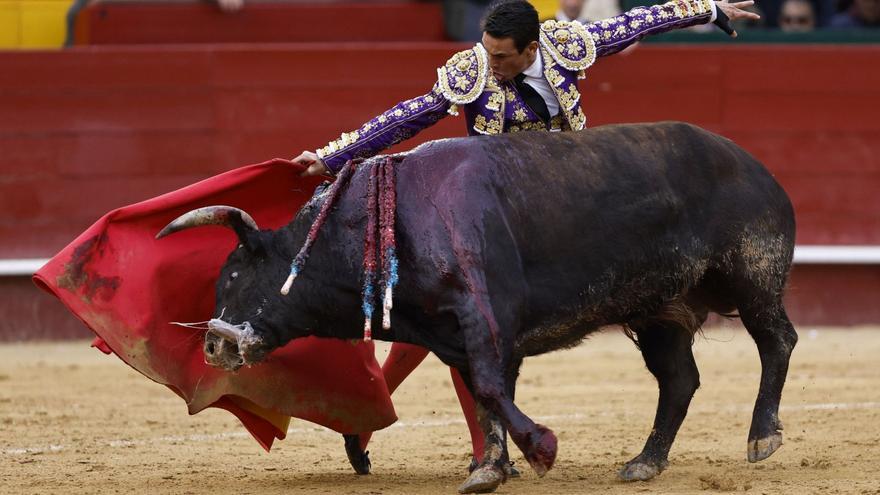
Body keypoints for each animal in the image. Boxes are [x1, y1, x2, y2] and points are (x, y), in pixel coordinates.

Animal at [156, 122, 796, 494]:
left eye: (235, 274)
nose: (213, 343)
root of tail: (752, 162)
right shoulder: (452, 334)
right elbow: (483, 394)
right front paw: (490, 466)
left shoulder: (482, 315)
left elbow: (490, 387)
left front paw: (540, 449)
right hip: (660, 309)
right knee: (679, 379)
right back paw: (645, 461)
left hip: (753, 273)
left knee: (776, 341)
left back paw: (762, 438)